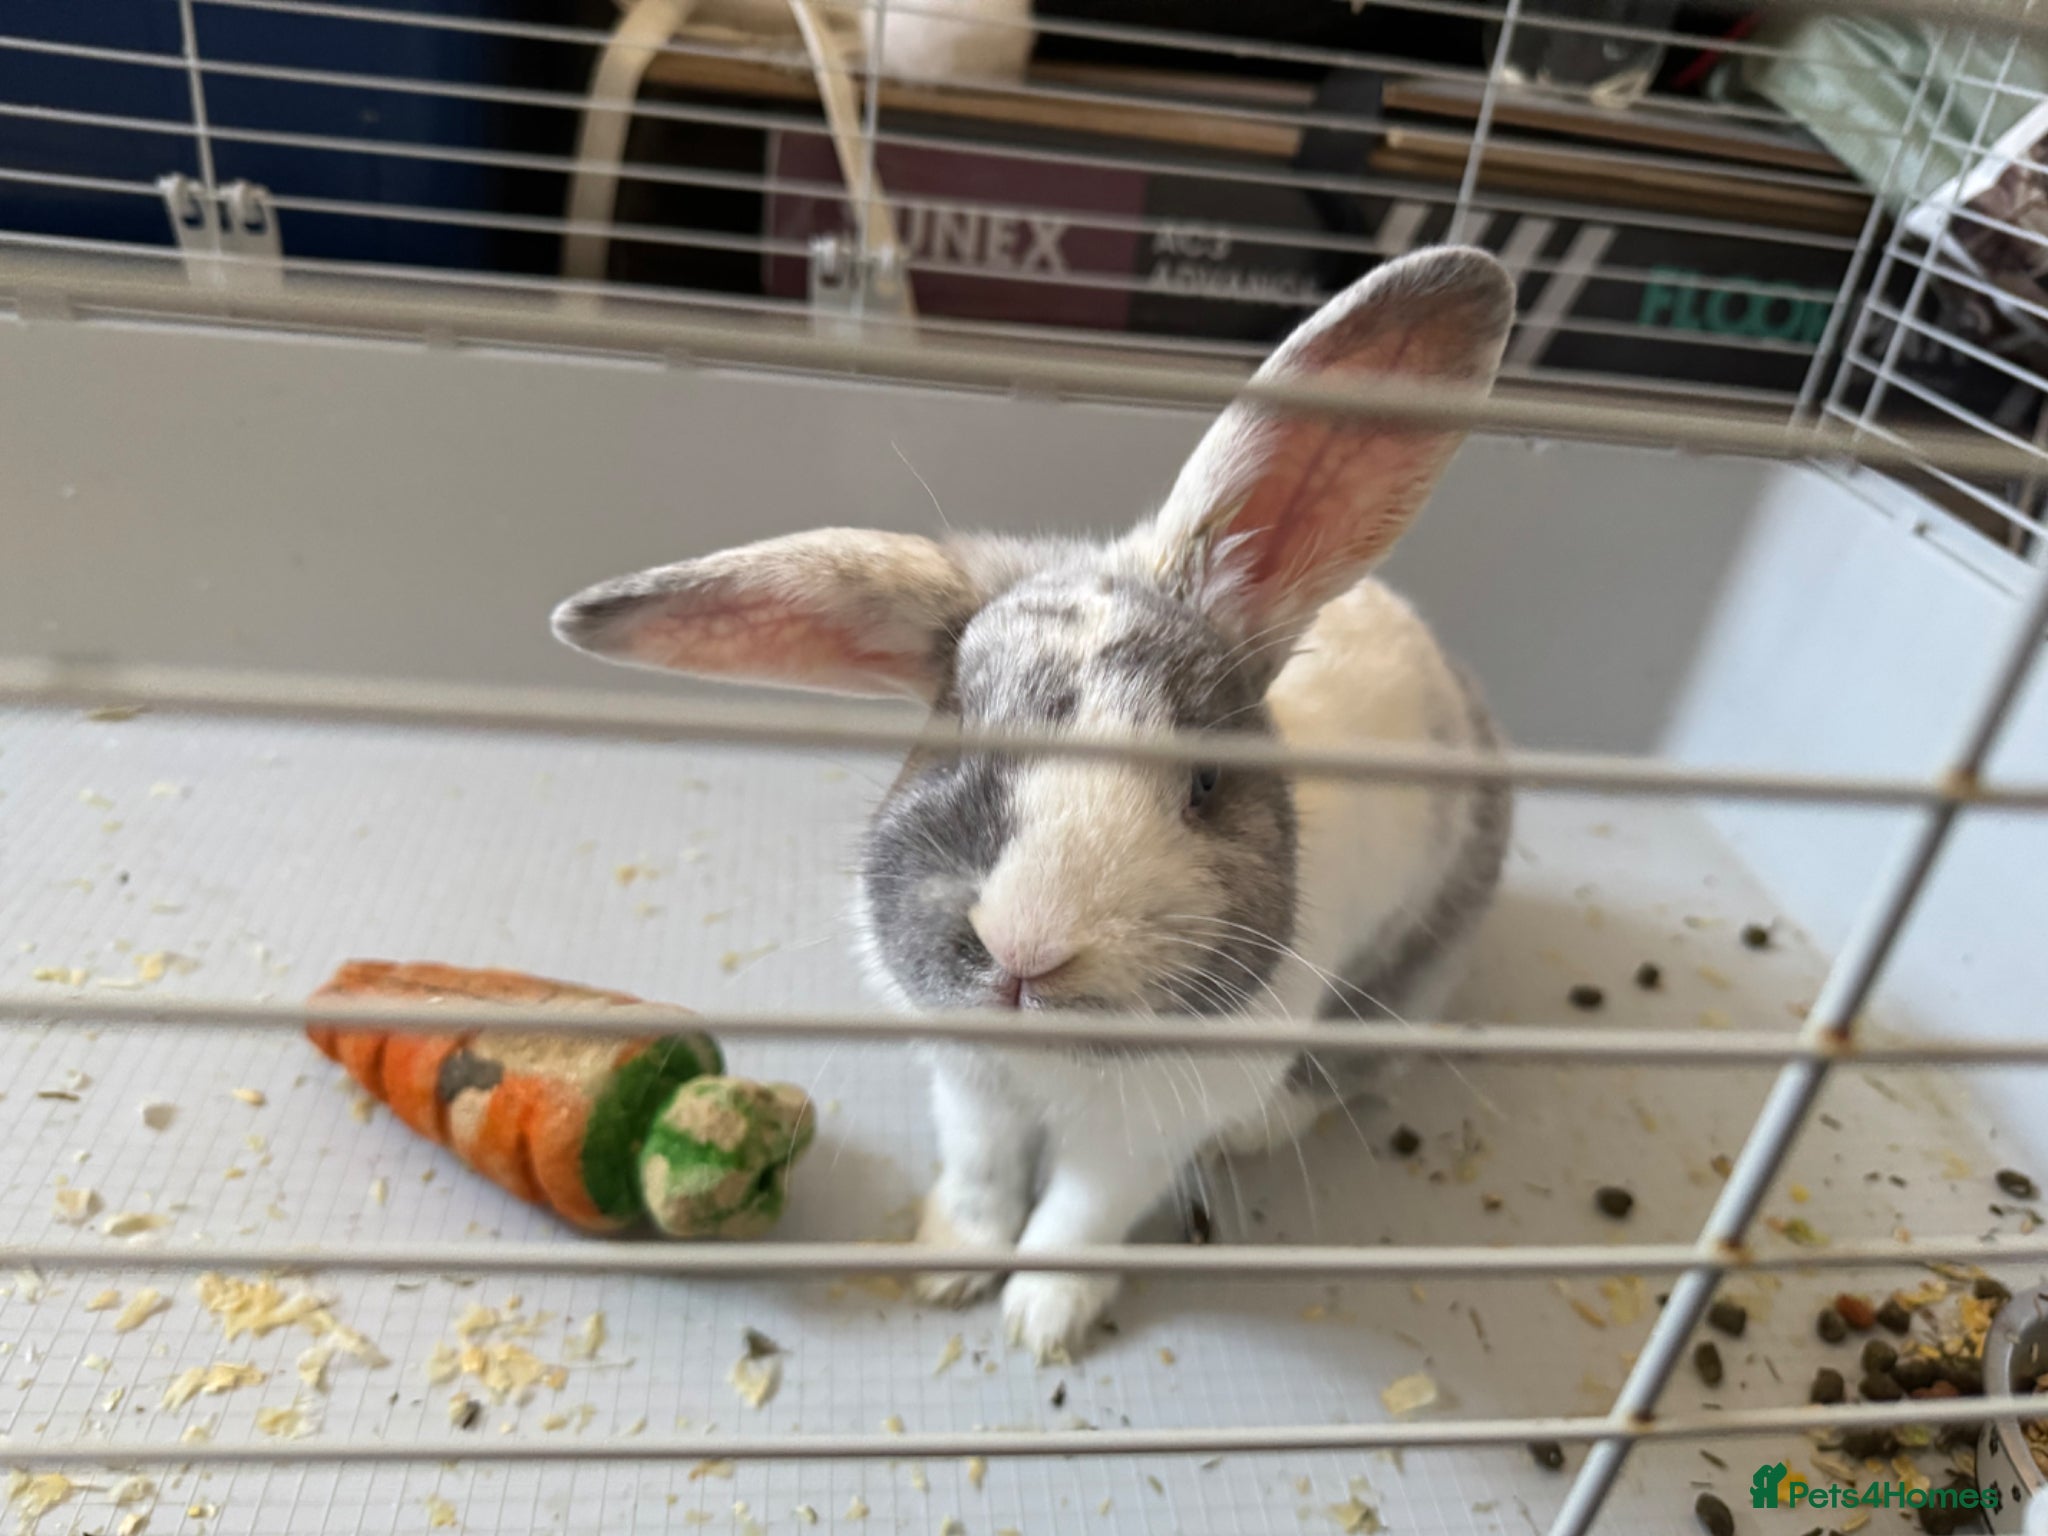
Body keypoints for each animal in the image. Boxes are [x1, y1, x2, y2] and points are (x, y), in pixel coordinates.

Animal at [551, 245, 1517, 1361]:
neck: (1043, 1054)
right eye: (955, 736)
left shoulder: (1137, 1135)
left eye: (1204, 780)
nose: (1025, 947)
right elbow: (983, 1178)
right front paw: (945, 1268)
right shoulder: (968, 1088)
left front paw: (1040, 1322)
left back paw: (1263, 1125)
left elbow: (1078, 1216)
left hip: (1411, 965)